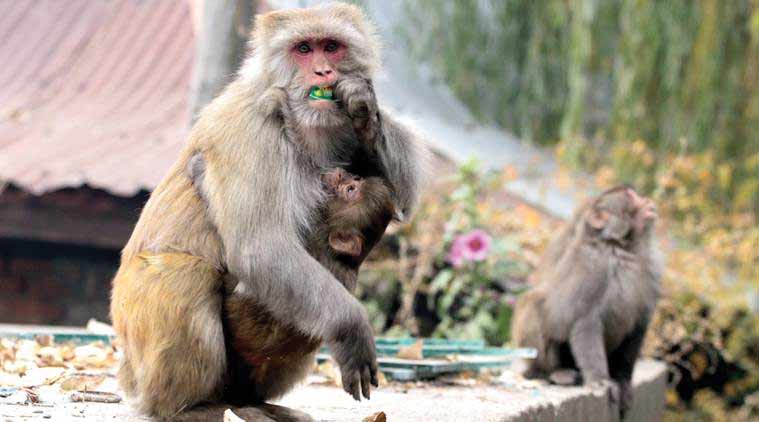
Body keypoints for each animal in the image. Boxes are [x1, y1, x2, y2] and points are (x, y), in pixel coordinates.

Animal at [511, 186, 661, 418]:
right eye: (630, 196)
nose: (646, 199)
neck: (627, 249)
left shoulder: (652, 273)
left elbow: (637, 329)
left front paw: (623, 382)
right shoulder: (591, 271)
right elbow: (584, 320)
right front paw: (600, 380)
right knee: (534, 303)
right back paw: (551, 372)